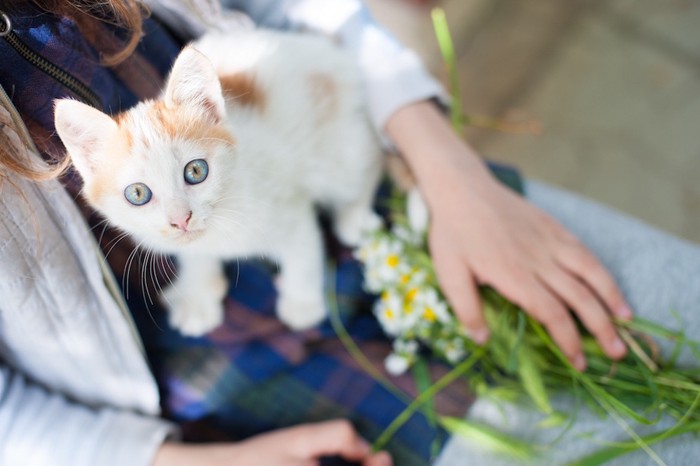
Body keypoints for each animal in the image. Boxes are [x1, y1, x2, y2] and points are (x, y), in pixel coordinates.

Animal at [54, 30, 382, 334]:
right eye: (137, 193)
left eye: (196, 171)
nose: (181, 219)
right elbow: (193, 254)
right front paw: (198, 296)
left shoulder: (287, 205)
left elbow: (303, 251)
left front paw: (302, 304)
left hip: (337, 151)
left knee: (370, 158)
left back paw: (355, 219)